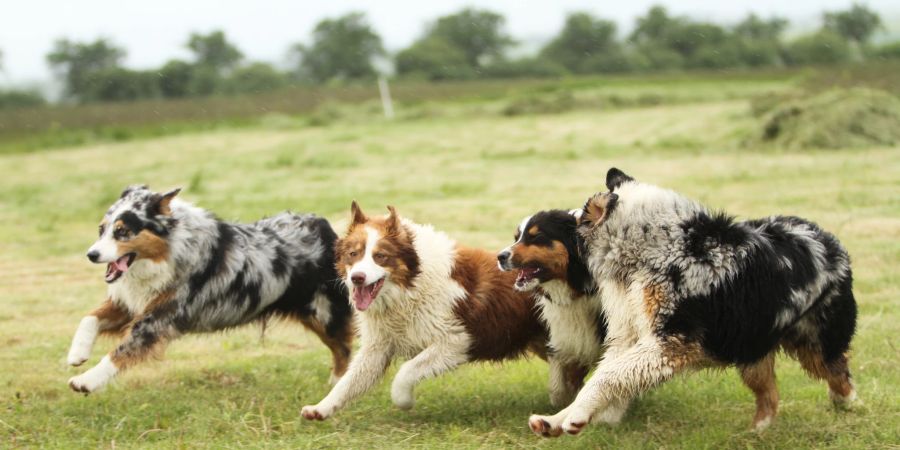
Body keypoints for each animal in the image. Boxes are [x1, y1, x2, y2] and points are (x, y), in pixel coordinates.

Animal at [67, 186, 354, 394]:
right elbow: (89, 318)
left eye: (123, 232)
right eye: (101, 230)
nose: (91, 255)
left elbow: (121, 352)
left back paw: (337, 384)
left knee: (344, 349)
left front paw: (86, 380)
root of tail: (328, 229)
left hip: (325, 313)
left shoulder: (157, 319)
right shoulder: (132, 303)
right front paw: (77, 353)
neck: (171, 250)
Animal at [298, 202, 552, 420]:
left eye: (380, 257)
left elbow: (406, 371)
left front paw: (404, 400)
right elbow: (348, 382)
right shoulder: (378, 346)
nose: (357, 278)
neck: (412, 283)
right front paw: (321, 408)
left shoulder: (456, 339)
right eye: (353, 254)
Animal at [528, 168, 856, 436]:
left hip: (814, 342)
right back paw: (757, 431)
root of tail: (825, 237)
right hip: (751, 346)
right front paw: (557, 420)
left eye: (574, 221)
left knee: (839, 372)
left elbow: (608, 376)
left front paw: (576, 417)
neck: (650, 250)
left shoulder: (671, 341)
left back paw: (847, 403)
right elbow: (602, 378)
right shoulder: (628, 337)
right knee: (770, 396)